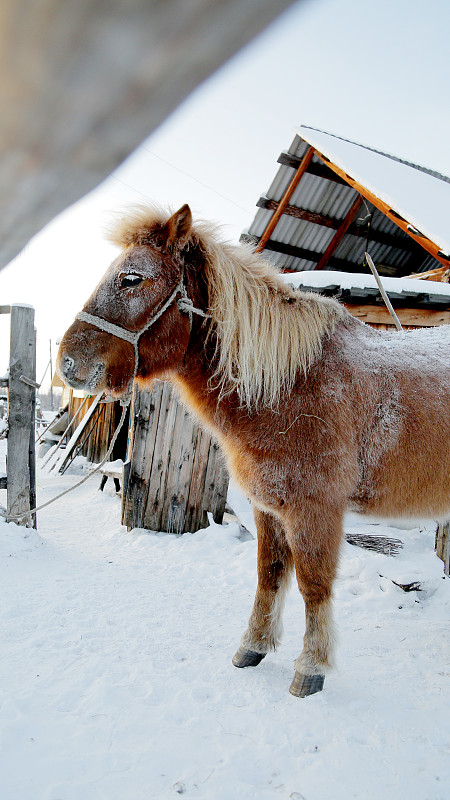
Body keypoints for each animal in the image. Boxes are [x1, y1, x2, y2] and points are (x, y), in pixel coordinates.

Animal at [58, 203, 450, 696]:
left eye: (132, 278)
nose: (67, 362)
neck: (291, 384)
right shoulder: (268, 506)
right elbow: (269, 574)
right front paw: (254, 647)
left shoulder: (314, 509)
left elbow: (313, 584)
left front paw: (311, 668)